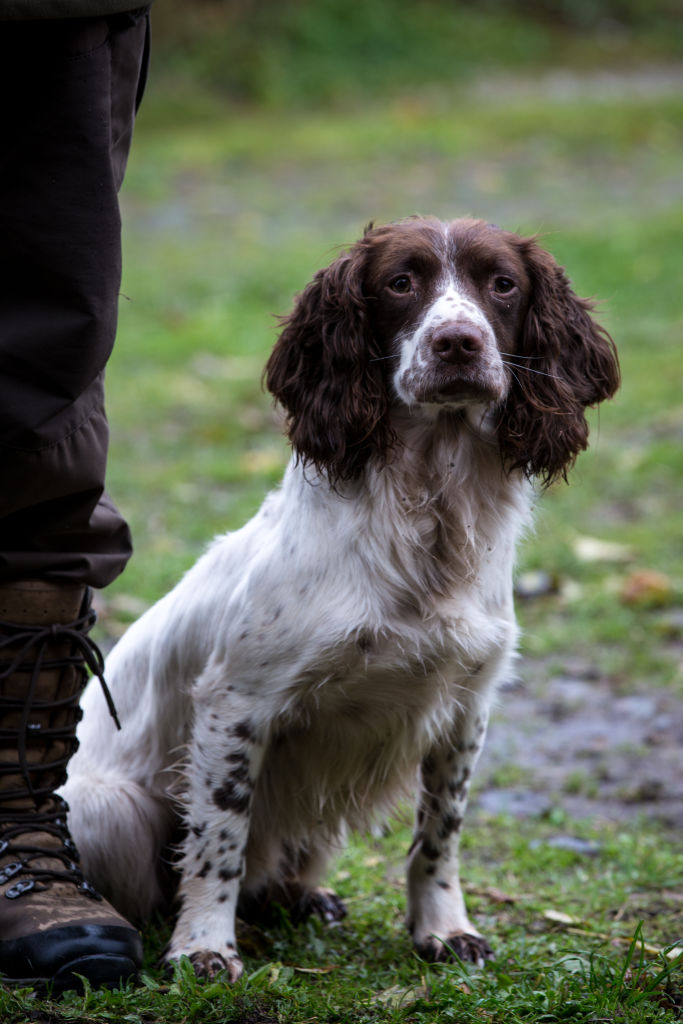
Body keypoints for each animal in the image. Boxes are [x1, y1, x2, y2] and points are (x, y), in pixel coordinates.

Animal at [62, 220, 618, 978]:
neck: (429, 517)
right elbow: (218, 841)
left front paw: (443, 929)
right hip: (110, 807)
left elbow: (439, 834)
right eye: (400, 282)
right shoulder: (235, 704)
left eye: (502, 283)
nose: (457, 343)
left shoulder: (466, 706)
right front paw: (203, 946)